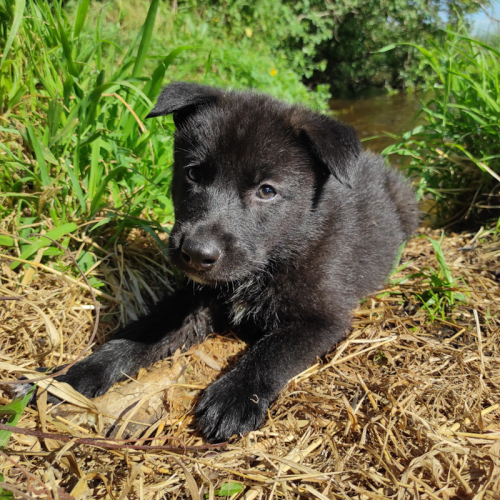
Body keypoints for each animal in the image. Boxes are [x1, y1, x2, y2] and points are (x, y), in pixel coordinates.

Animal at [18, 84, 418, 444]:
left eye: (267, 191)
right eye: (194, 173)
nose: (196, 252)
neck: (273, 259)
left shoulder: (322, 317)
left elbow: (275, 351)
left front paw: (234, 397)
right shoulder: (194, 299)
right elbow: (140, 333)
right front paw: (66, 377)